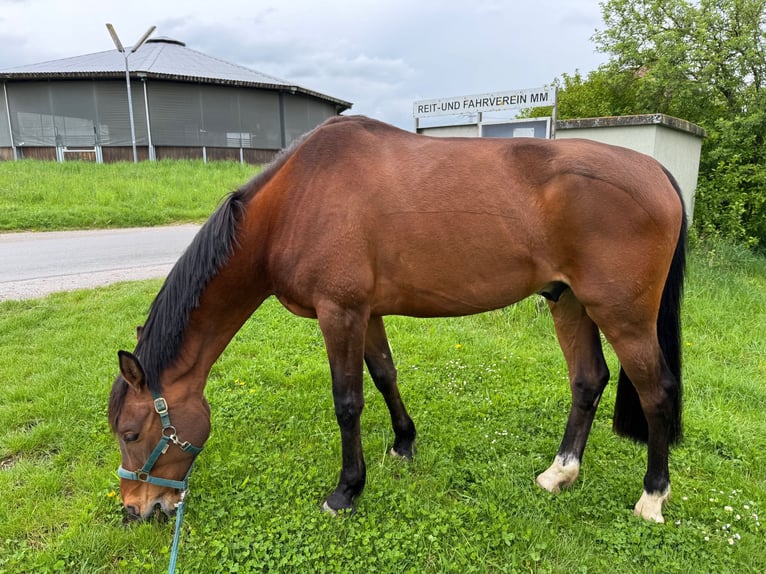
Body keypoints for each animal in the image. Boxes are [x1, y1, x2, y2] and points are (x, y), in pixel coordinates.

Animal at [108, 114, 686, 524]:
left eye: (132, 432)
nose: (136, 509)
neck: (296, 201)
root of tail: (656, 171)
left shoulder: (338, 313)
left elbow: (347, 403)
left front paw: (346, 490)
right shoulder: (365, 313)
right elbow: (385, 375)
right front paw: (403, 443)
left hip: (624, 317)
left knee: (656, 392)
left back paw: (652, 498)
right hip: (567, 301)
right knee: (588, 381)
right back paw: (559, 474)